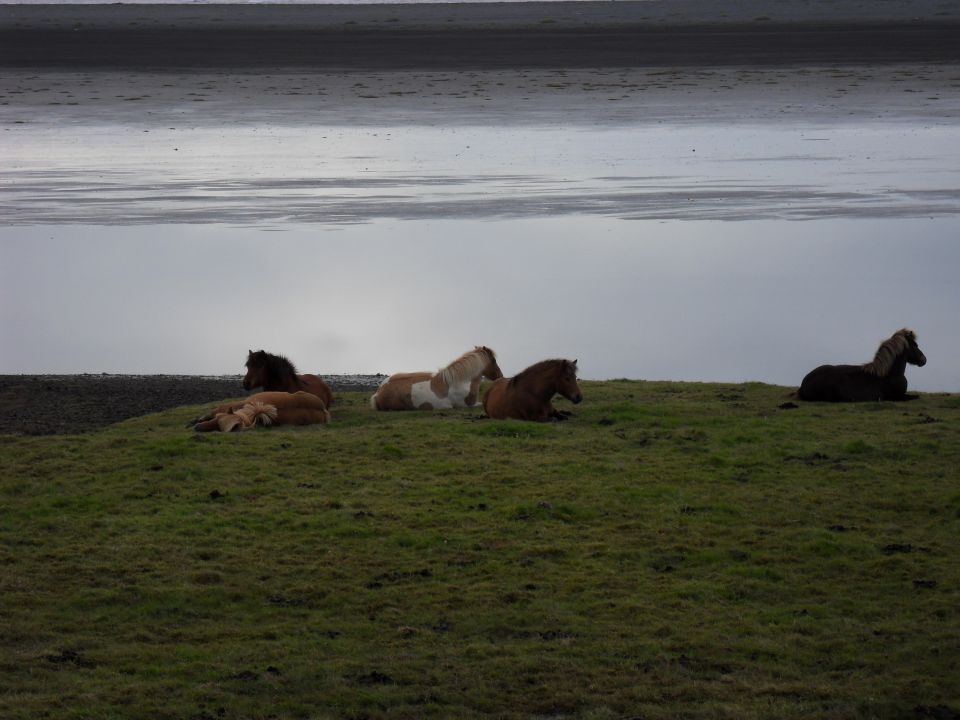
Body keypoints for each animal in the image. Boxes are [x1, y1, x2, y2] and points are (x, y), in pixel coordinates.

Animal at [800, 330, 928, 402]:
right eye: (915, 345)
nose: (924, 360)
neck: (888, 374)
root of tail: (803, 385)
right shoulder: (896, 397)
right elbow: (916, 396)